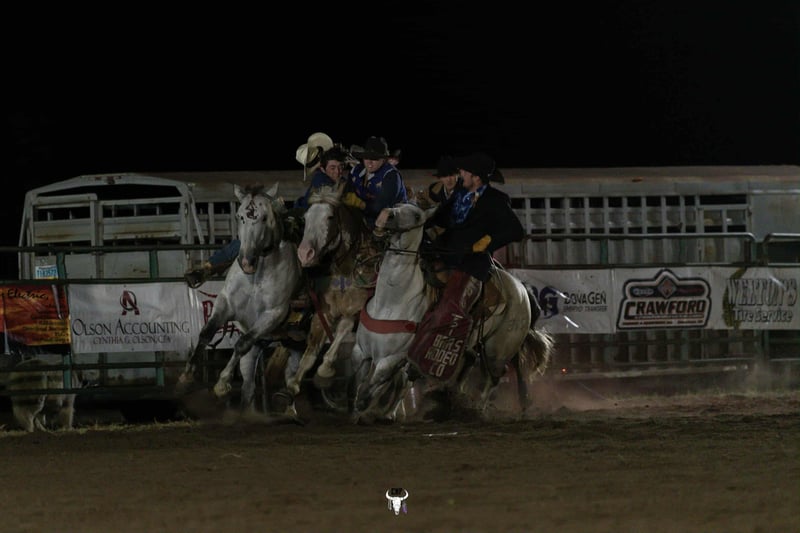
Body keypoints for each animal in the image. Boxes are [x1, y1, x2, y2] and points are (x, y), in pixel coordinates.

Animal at [178, 183, 302, 413]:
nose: (246, 261)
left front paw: (222, 383)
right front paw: (186, 377)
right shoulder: (226, 303)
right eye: (240, 216)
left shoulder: (272, 315)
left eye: (264, 217)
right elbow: (206, 333)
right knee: (252, 383)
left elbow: (241, 343)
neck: (256, 276)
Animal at [284, 182, 375, 413]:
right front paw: (293, 385)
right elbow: (309, 354)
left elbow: (342, 331)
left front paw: (325, 371)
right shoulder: (323, 313)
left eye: (330, 217)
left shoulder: (355, 312)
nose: (304, 253)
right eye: (306, 217)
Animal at [351, 202, 554, 424]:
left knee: (492, 377)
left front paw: (373, 411)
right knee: (471, 362)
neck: (391, 303)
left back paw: (476, 408)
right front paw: (376, 413)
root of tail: (521, 288)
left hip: (498, 348)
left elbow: (372, 387)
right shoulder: (360, 352)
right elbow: (359, 383)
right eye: (396, 205)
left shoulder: (394, 358)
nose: (386, 215)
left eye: (417, 216)